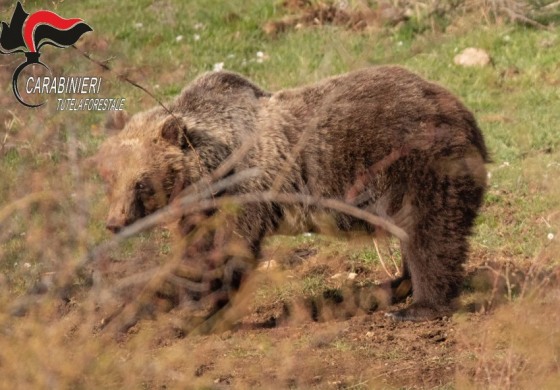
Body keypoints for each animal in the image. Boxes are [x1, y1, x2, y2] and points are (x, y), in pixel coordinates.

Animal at [97, 67, 490, 322]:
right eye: (109, 178)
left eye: (141, 182)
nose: (114, 223)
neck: (212, 172)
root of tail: (462, 111)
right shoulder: (200, 209)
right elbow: (194, 255)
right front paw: (127, 312)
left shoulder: (245, 194)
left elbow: (225, 255)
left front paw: (200, 310)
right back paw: (391, 285)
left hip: (419, 163)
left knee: (430, 233)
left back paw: (419, 307)